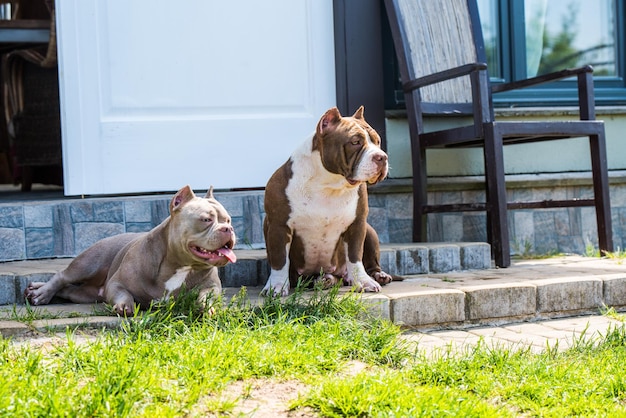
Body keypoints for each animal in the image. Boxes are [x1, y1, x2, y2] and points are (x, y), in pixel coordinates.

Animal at [23, 185, 235, 316]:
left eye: (228, 219)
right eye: (206, 219)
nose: (229, 229)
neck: (181, 264)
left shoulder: (212, 285)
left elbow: (207, 294)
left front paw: (206, 306)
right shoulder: (116, 283)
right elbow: (123, 293)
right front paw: (125, 305)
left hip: (83, 294)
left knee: (68, 290)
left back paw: (35, 289)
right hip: (89, 262)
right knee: (62, 277)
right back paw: (41, 294)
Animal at [262, 106, 390, 296]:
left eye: (378, 141)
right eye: (355, 142)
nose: (382, 157)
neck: (330, 184)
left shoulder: (357, 224)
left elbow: (355, 257)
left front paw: (363, 281)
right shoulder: (279, 226)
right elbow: (279, 260)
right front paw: (275, 286)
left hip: (370, 231)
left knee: (370, 263)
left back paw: (376, 276)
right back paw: (325, 280)